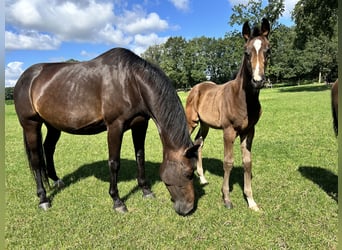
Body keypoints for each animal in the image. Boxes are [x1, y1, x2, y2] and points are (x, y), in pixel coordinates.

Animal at [13, 47, 202, 216]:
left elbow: (140, 156)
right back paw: (43, 198)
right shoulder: (115, 127)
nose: (187, 208)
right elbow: (114, 163)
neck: (131, 82)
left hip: (53, 125)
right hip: (31, 125)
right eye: (188, 173)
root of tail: (25, 77)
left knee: (48, 148)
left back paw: (56, 180)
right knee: (36, 160)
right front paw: (117, 201)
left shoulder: (140, 125)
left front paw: (146, 190)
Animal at [184, 18, 270, 211]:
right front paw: (227, 199)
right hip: (191, 121)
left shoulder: (249, 131)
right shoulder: (229, 131)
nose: (258, 81)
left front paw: (251, 201)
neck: (243, 99)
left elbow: (247, 162)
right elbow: (228, 162)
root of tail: (195, 87)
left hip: (205, 125)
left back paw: (202, 178)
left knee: (198, 143)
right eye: (246, 52)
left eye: (268, 51)